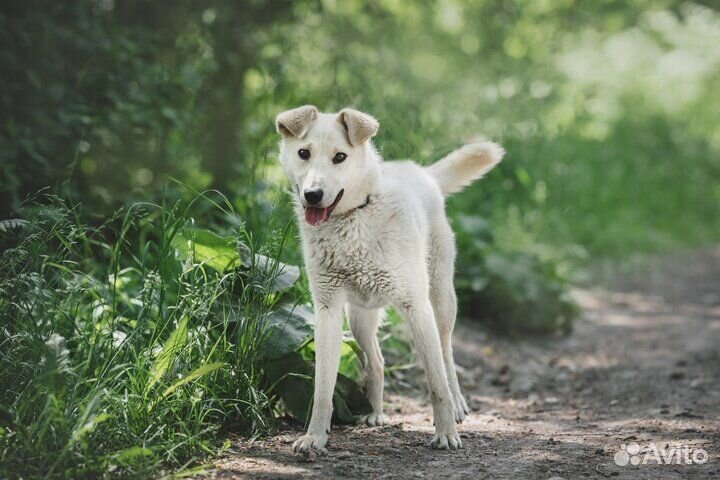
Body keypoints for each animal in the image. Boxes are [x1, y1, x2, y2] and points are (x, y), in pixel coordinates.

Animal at [272, 105, 504, 450]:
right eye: (304, 153)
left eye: (340, 157)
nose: (313, 195)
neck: (355, 217)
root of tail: (422, 172)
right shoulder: (327, 310)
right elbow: (323, 388)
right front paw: (315, 437)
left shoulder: (416, 306)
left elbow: (436, 383)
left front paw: (446, 433)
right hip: (359, 319)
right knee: (377, 362)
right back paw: (376, 412)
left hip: (441, 301)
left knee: (446, 353)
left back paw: (458, 405)